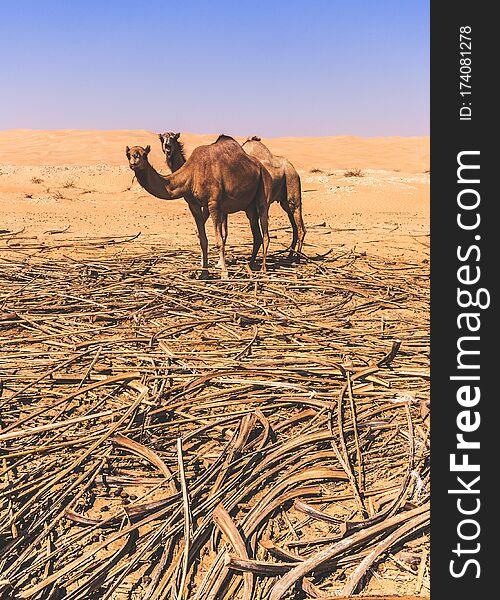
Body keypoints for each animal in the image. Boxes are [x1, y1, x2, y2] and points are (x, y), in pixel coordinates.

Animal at [127, 135, 272, 278]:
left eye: (144, 154)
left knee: (265, 230)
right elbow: (203, 239)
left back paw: (263, 269)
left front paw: (224, 274)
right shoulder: (194, 205)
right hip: (249, 206)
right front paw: (204, 273)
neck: (191, 174)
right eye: (128, 154)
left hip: (263, 185)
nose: (134, 161)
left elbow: (219, 241)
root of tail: (260, 165)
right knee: (256, 234)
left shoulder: (213, 204)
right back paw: (250, 266)